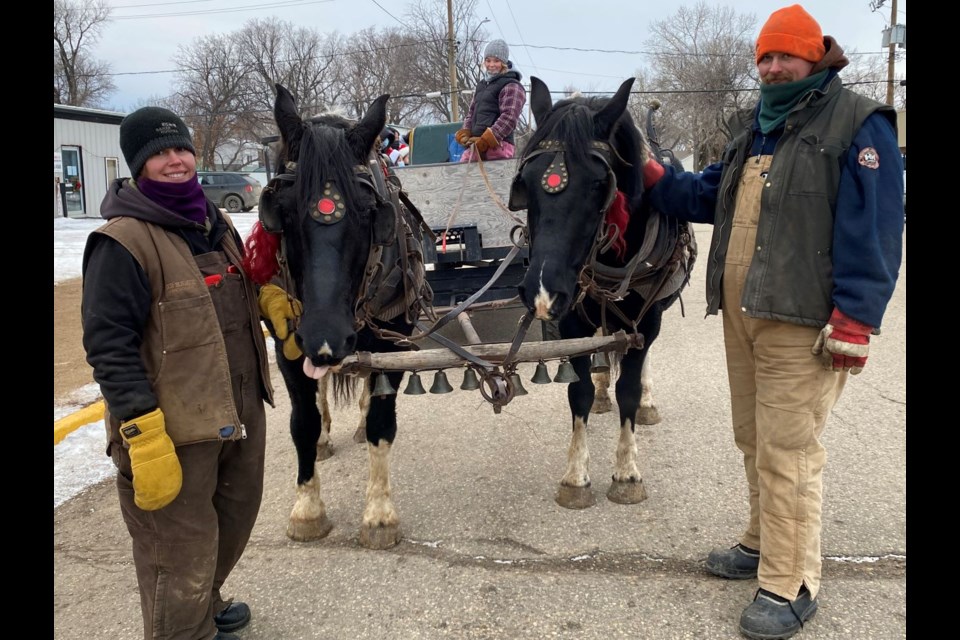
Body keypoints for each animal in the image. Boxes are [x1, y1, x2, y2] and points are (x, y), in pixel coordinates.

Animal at [248, 82, 428, 548]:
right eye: (281, 210)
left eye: (370, 212)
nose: (326, 336)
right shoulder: (289, 343)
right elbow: (304, 423)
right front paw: (308, 508)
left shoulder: (393, 341)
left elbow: (382, 422)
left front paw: (379, 515)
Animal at [510, 77, 696, 510]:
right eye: (525, 183)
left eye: (599, 183)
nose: (541, 287)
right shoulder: (571, 319)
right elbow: (576, 391)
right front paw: (576, 476)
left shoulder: (647, 318)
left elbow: (629, 385)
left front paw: (626, 472)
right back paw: (600, 391)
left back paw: (646, 402)